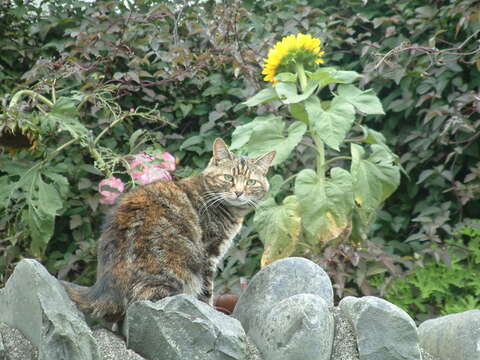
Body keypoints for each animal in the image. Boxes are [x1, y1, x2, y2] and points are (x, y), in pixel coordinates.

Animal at [62, 138, 276, 320]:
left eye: (250, 182)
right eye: (228, 178)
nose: (239, 192)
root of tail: (103, 288)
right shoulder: (208, 255)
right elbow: (206, 292)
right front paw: (210, 311)